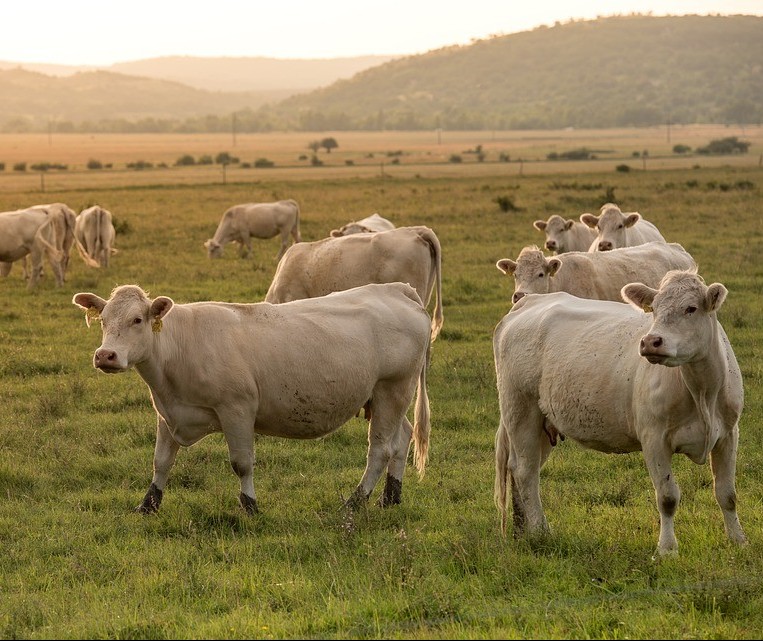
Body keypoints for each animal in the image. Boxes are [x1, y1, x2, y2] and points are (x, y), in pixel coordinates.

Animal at [74, 282, 432, 512]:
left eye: (137, 319)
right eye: (103, 321)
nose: (105, 355)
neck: (180, 347)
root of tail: (396, 289)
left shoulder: (237, 410)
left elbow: (242, 463)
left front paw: (250, 506)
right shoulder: (168, 413)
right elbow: (161, 461)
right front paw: (148, 504)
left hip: (392, 389)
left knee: (381, 450)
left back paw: (355, 502)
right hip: (387, 398)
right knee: (402, 438)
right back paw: (390, 498)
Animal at [492, 270, 748, 556]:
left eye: (691, 308)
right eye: (654, 309)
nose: (650, 341)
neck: (702, 391)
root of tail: (529, 301)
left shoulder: (728, 434)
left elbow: (727, 493)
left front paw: (738, 540)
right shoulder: (653, 438)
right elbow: (667, 497)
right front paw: (666, 549)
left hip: (542, 422)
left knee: (523, 469)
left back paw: (522, 530)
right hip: (520, 409)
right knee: (525, 471)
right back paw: (540, 532)